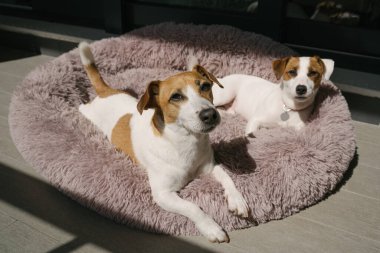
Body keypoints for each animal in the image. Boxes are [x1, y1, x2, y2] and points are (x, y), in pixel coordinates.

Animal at [77, 42, 249, 242]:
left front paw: (237, 200)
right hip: (88, 113)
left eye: (206, 86)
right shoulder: (163, 194)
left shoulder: (209, 166)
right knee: (81, 107)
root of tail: (106, 92)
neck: (186, 142)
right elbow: (192, 207)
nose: (210, 114)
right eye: (176, 97)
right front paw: (211, 227)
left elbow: (227, 177)